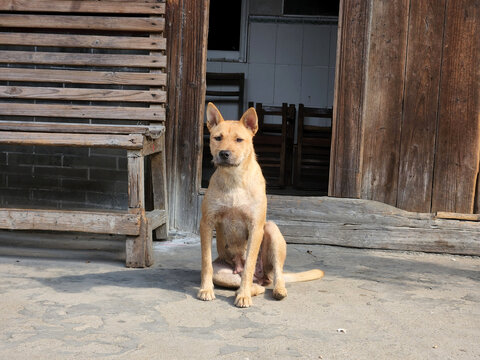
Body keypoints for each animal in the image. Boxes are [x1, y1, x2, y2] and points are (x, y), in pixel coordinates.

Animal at [197, 102, 324, 308]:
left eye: (239, 140)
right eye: (217, 138)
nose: (223, 154)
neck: (234, 179)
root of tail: (263, 276)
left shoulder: (256, 226)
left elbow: (249, 264)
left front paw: (243, 296)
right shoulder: (206, 224)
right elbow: (206, 262)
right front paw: (206, 289)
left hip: (271, 231)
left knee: (274, 274)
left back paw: (273, 289)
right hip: (223, 273)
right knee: (256, 285)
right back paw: (245, 289)